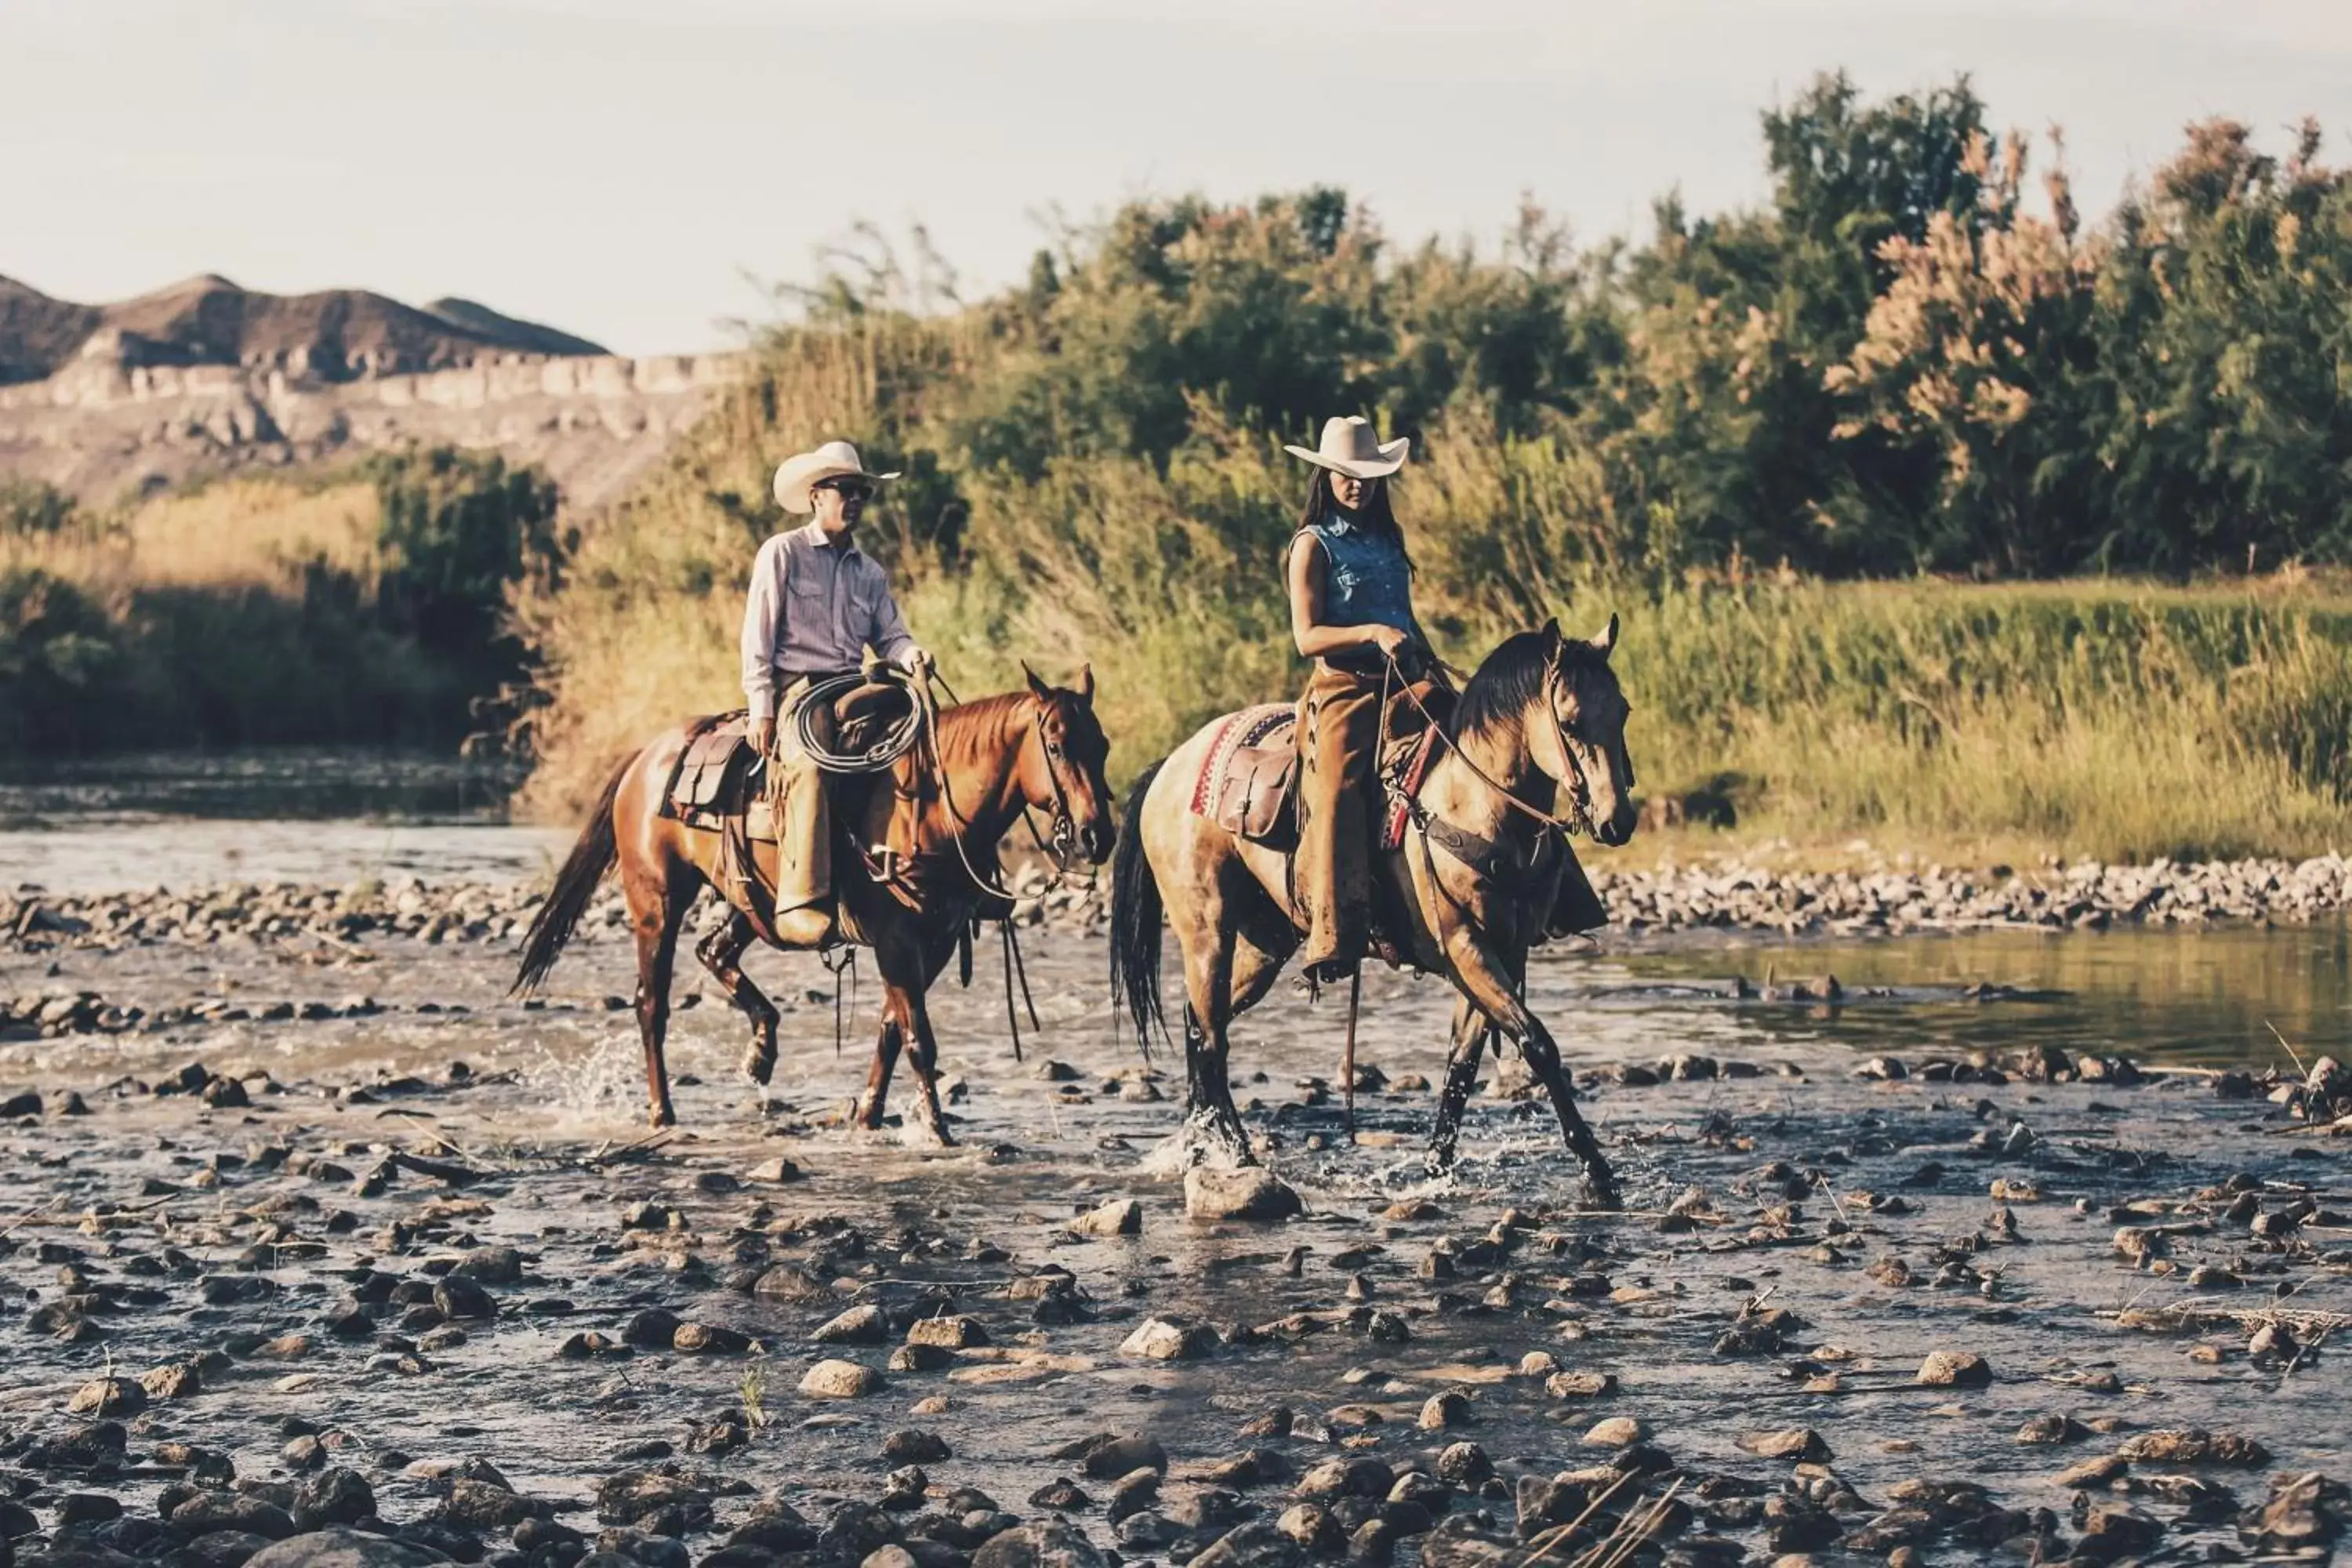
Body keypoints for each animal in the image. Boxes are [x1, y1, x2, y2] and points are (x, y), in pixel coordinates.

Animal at [513, 672, 1110, 1142]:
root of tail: (644, 756)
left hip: (754, 900)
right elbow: (918, 1039)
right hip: (656, 901)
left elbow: (891, 1029)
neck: (931, 807)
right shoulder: (896, 941)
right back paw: (663, 1112)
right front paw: (937, 1131)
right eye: (1056, 746)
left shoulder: (937, 940)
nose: (1096, 834)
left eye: (1102, 745)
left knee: (715, 952)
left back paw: (761, 1050)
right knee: (651, 1004)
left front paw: (868, 1117)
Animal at [1105, 620, 1637, 1194]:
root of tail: (1171, 766)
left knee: (1200, 1020)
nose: (1618, 821)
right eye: (1571, 722)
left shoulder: (1506, 951)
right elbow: (1537, 1044)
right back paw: (1239, 1157)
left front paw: (1436, 1170)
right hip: (1207, 933)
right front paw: (1597, 1172)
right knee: (1209, 1039)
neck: (1472, 802)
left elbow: (1462, 1064)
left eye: (1623, 711)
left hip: (1264, 943)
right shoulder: (1463, 946)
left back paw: (1200, 1148)